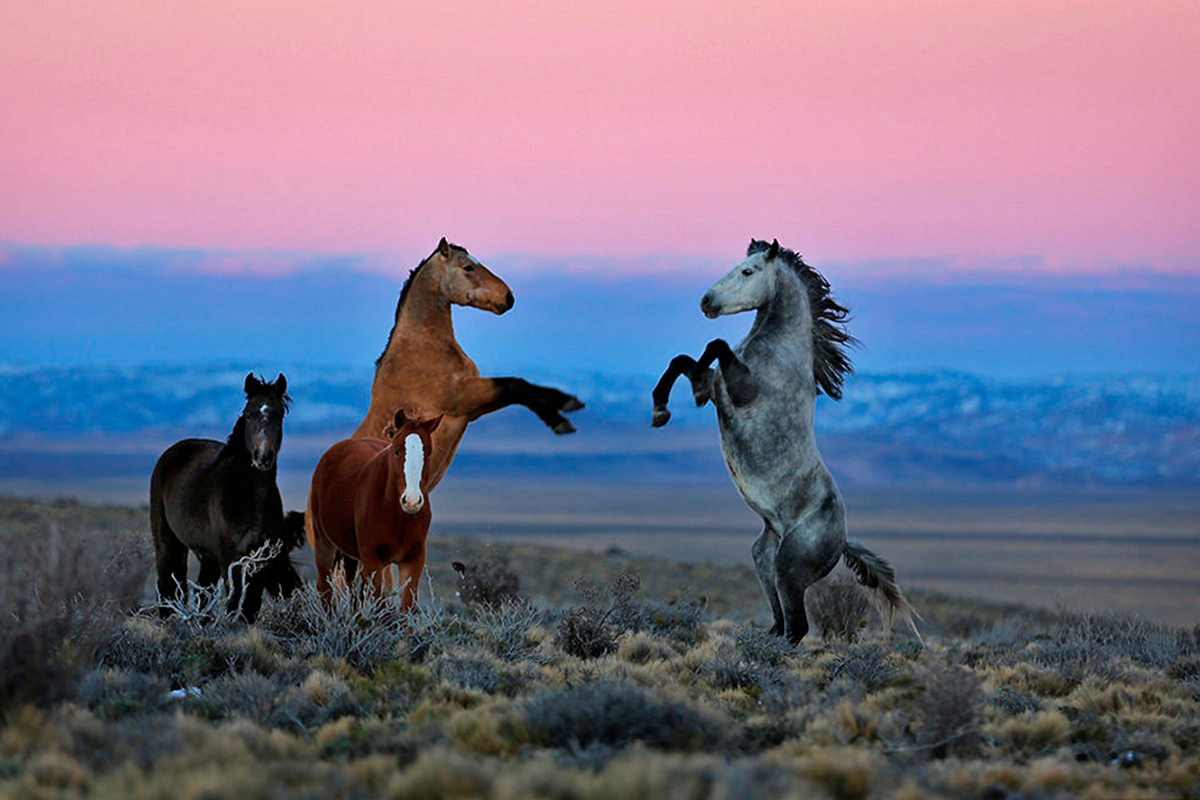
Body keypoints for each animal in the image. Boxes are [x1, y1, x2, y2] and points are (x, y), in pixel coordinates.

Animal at [148, 371, 304, 623]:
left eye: (279, 415)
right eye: (249, 414)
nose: (263, 456)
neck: (249, 498)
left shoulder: (262, 561)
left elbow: (250, 606)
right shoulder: (231, 558)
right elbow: (234, 601)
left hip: (207, 555)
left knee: (203, 592)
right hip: (167, 543)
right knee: (166, 587)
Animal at [307, 410, 444, 609]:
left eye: (429, 452)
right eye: (397, 451)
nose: (411, 501)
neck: (398, 517)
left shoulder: (413, 559)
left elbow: (407, 607)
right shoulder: (373, 560)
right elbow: (378, 602)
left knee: (354, 593)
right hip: (324, 543)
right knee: (325, 588)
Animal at [352, 236, 583, 489]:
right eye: (468, 267)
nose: (508, 297)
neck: (421, 348)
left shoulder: (473, 410)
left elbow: (522, 387)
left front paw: (568, 401)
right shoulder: (461, 398)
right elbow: (515, 385)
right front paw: (559, 421)